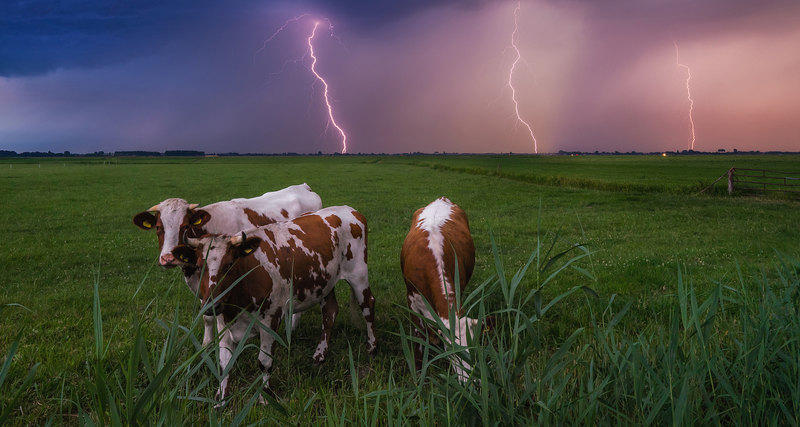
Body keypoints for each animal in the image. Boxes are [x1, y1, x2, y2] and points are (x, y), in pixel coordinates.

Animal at [131, 186, 322, 346]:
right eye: (158, 228)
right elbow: (207, 317)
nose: (168, 258)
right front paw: (206, 345)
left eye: (185, 226)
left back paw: (292, 328)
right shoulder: (202, 286)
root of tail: (303, 186)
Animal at [170, 206, 376, 404]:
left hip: (358, 275)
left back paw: (372, 346)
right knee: (330, 312)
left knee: (368, 306)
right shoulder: (223, 324)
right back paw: (320, 354)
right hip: (325, 283)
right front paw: (220, 399)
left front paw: (265, 396)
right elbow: (224, 364)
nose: (212, 303)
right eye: (198, 266)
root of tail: (350, 210)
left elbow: (264, 362)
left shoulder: (270, 320)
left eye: (229, 265)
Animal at [400, 199, 488, 382]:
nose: (471, 381)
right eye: (452, 351)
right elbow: (418, 337)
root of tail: (441, 199)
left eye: (475, 346)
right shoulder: (412, 300)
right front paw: (418, 372)